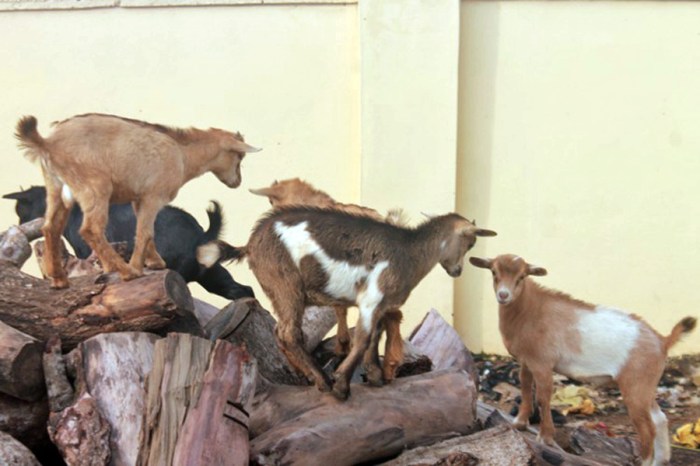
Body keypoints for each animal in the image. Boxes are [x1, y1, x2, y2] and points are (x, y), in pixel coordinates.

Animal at [3, 186, 254, 300]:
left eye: (20, 211)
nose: (20, 225)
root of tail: (199, 234)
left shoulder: (87, 253)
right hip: (214, 276)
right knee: (245, 291)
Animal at [15, 113, 260, 289]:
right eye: (239, 156)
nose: (237, 182)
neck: (183, 155)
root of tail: (47, 142)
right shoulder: (153, 196)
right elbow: (144, 232)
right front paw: (138, 267)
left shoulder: (138, 198)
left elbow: (145, 232)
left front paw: (155, 262)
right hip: (95, 187)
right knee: (90, 229)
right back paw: (125, 272)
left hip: (55, 188)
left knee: (50, 227)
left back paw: (59, 280)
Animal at [234, 207, 496, 399]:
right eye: (471, 243)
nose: (457, 271)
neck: (410, 252)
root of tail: (249, 245)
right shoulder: (371, 298)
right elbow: (362, 339)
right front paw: (341, 385)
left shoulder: (381, 306)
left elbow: (375, 337)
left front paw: (375, 377)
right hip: (287, 287)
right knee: (290, 333)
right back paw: (323, 381)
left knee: (280, 333)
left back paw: (307, 376)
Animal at [469, 254, 697, 466]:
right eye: (493, 272)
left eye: (522, 276)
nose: (503, 295)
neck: (530, 310)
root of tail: (662, 341)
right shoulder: (526, 361)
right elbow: (525, 388)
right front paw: (519, 423)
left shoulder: (543, 364)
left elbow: (543, 397)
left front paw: (546, 437)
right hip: (646, 385)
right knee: (660, 419)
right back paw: (661, 459)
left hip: (635, 385)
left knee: (648, 427)